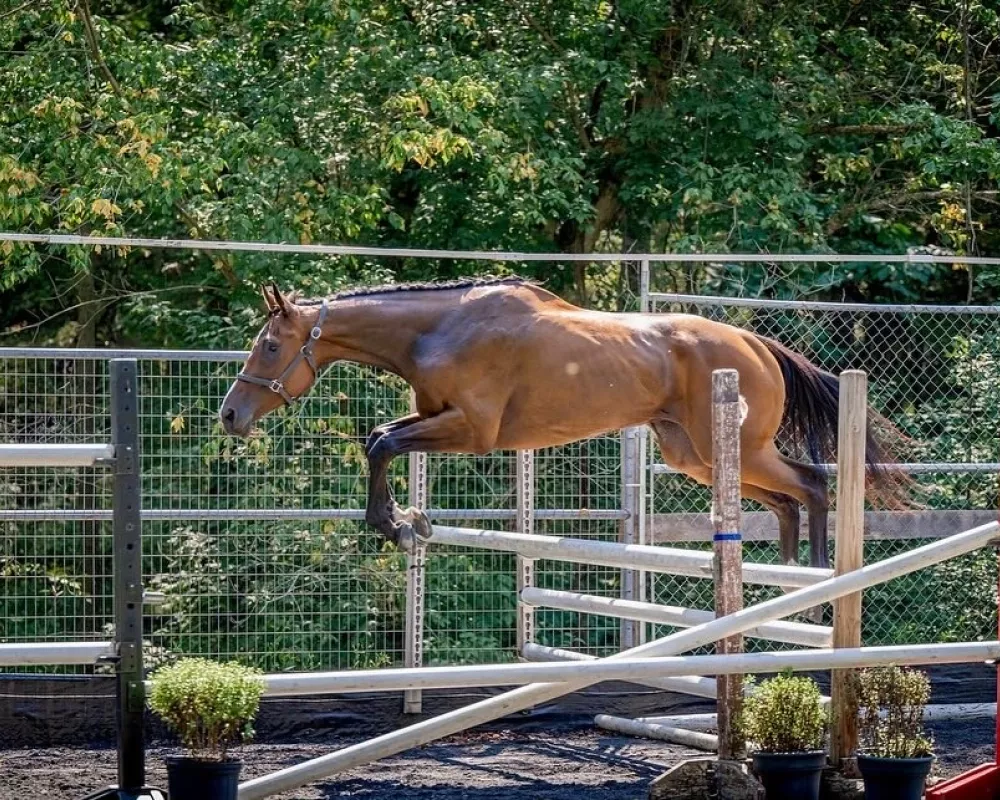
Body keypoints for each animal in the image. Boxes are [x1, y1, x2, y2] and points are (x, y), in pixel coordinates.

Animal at [219, 277, 909, 568]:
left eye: (270, 347)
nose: (230, 416)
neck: (438, 328)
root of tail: (755, 342)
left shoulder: (472, 430)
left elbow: (383, 442)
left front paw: (394, 526)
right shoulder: (437, 415)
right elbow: (379, 438)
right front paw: (405, 522)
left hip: (737, 449)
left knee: (812, 484)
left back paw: (815, 580)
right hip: (697, 456)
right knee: (787, 501)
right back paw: (787, 581)